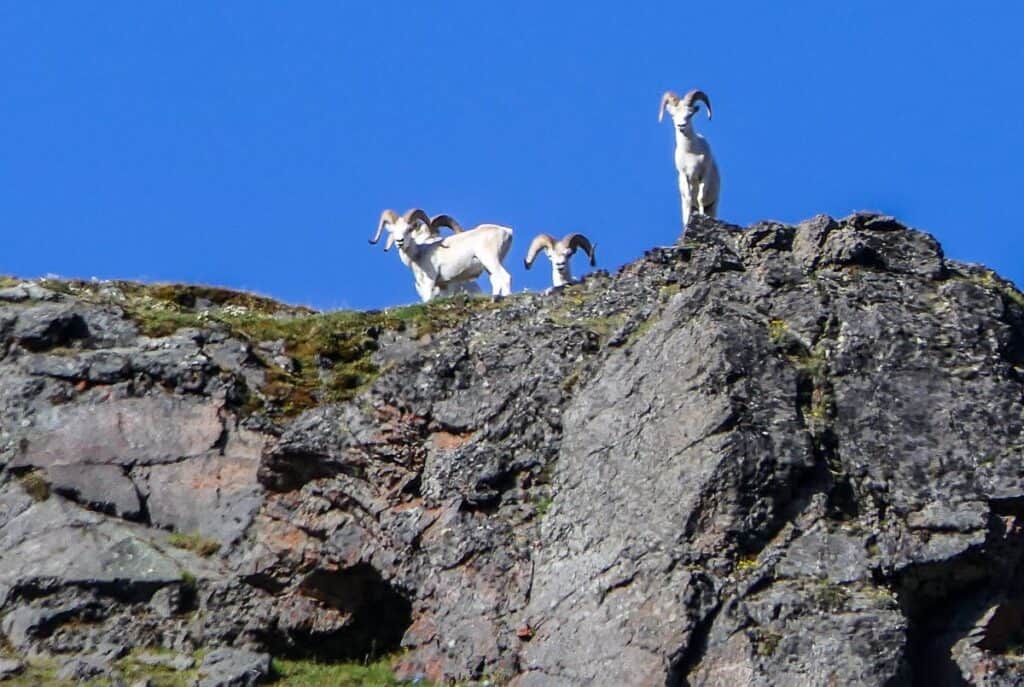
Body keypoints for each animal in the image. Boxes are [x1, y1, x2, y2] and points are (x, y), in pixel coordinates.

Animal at [368, 209, 512, 301]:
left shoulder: (429, 282)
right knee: (495, 280)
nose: (400, 241)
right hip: (489, 266)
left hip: (490, 260)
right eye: (393, 232)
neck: (419, 254)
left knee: (505, 277)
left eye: (409, 230)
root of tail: (507, 231)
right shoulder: (441, 286)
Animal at [659, 88, 716, 231]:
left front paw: (702, 217)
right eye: (673, 116)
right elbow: (690, 198)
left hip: (713, 205)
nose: (681, 126)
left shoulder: (704, 175)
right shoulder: (685, 175)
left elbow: (700, 197)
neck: (691, 153)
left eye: (690, 115)